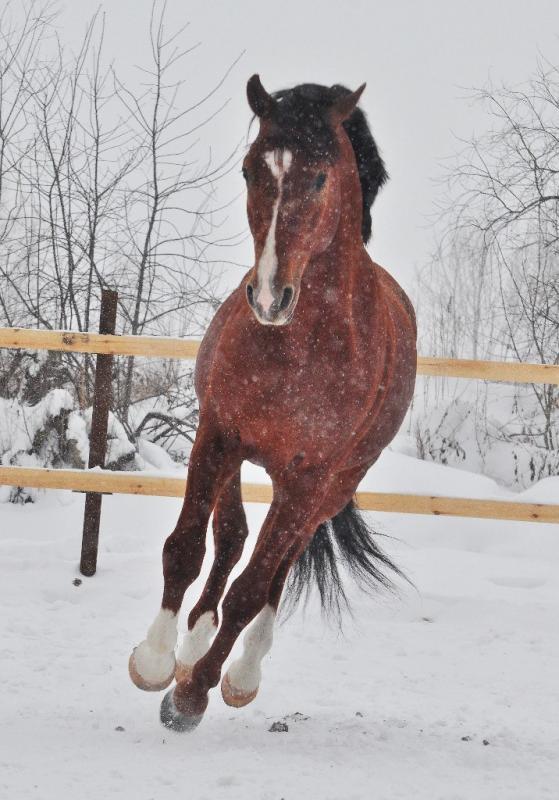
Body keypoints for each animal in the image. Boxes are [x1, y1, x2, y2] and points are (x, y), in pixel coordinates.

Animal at [128, 75, 417, 732]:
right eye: (248, 170)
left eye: (320, 177)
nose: (267, 297)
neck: (300, 346)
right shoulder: (217, 433)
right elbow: (186, 548)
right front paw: (156, 661)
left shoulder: (310, 476)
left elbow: (253, 589)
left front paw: (190, 698)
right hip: (243, 457)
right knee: (232, 537)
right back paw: (191, 644)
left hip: (326, 488)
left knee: (280, 567)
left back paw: (239, 675)